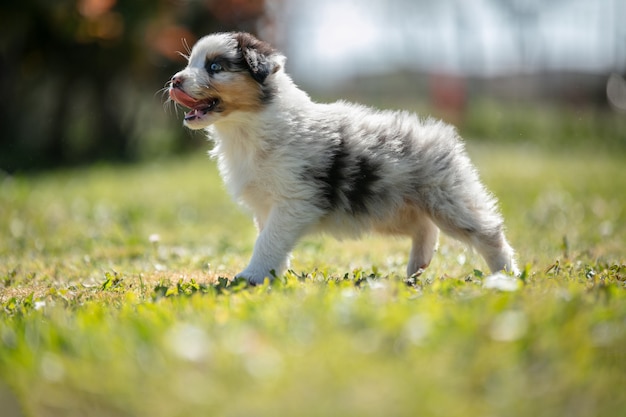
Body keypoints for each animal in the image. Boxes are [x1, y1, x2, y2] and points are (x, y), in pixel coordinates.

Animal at [168, 31, 520, 282]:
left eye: (215, 67)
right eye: (191, 63)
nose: (174, 80)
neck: (247, 127)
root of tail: (442, 134)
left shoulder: (294, 201)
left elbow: (267, 242)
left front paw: (251, 277)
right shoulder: (268, 208)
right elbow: (272, 241)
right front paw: (270, 277)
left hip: (448, 200)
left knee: (489, 232)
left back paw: (507, 276)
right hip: (391, 209)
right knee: (425, 229)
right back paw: (415, 270)